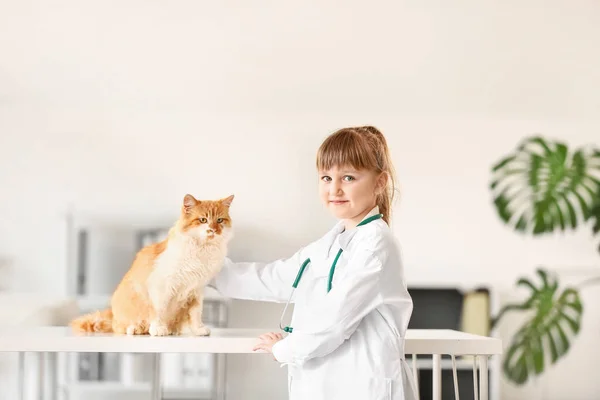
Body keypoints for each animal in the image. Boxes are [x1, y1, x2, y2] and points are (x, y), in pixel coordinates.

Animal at [70, 193, 234, 334]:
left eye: (220, 220)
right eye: (203, 220)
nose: (213, 230)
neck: (202, 251)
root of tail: (111, 314)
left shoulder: (196, 290)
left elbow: (196, 313)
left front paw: (198, 329)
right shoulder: (161, 286)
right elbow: (158, 311)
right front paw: (158, 329)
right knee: (120, 327)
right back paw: (136, 328)